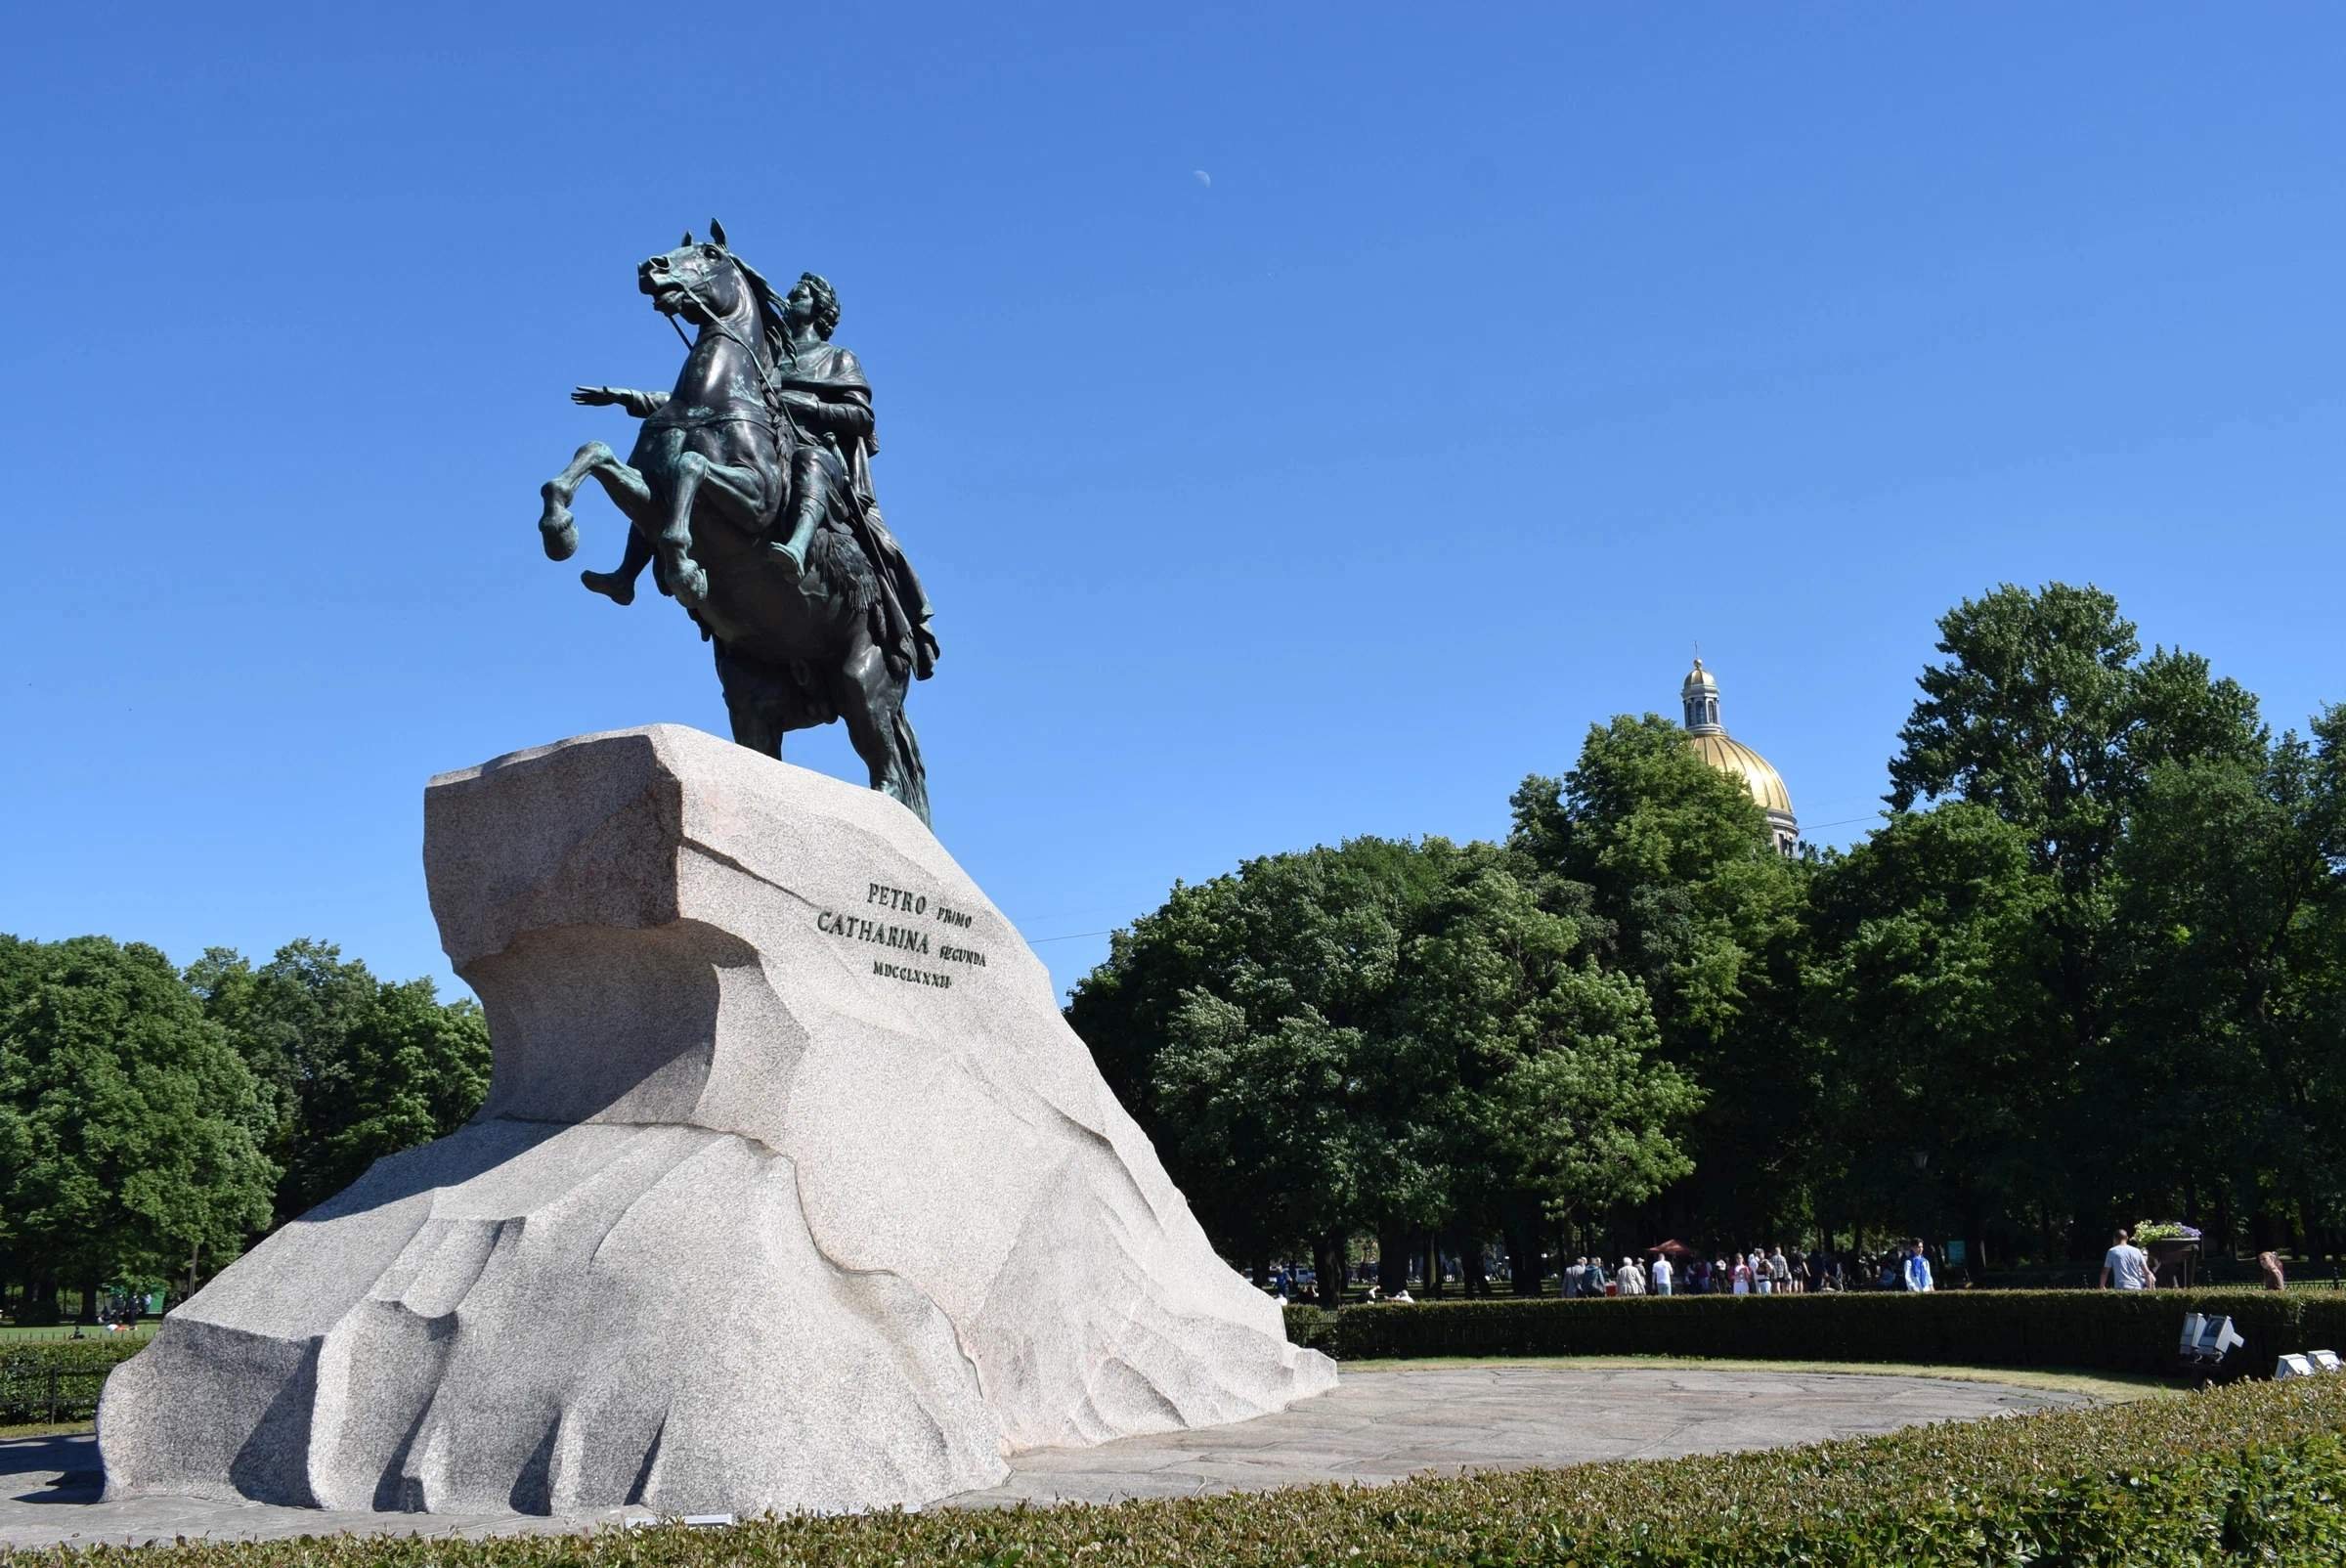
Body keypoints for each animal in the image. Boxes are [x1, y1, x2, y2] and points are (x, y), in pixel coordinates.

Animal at [537, 230, 929, 831]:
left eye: (711, 256)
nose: (650, 267)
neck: (710, 399)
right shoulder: (646, 492)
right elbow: (597, 453)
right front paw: (559, 530)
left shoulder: (756, 502)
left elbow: (691, 467)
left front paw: (684, 568)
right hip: (752, 695)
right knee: (764, 747)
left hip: (863, 681)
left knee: (886, 768)